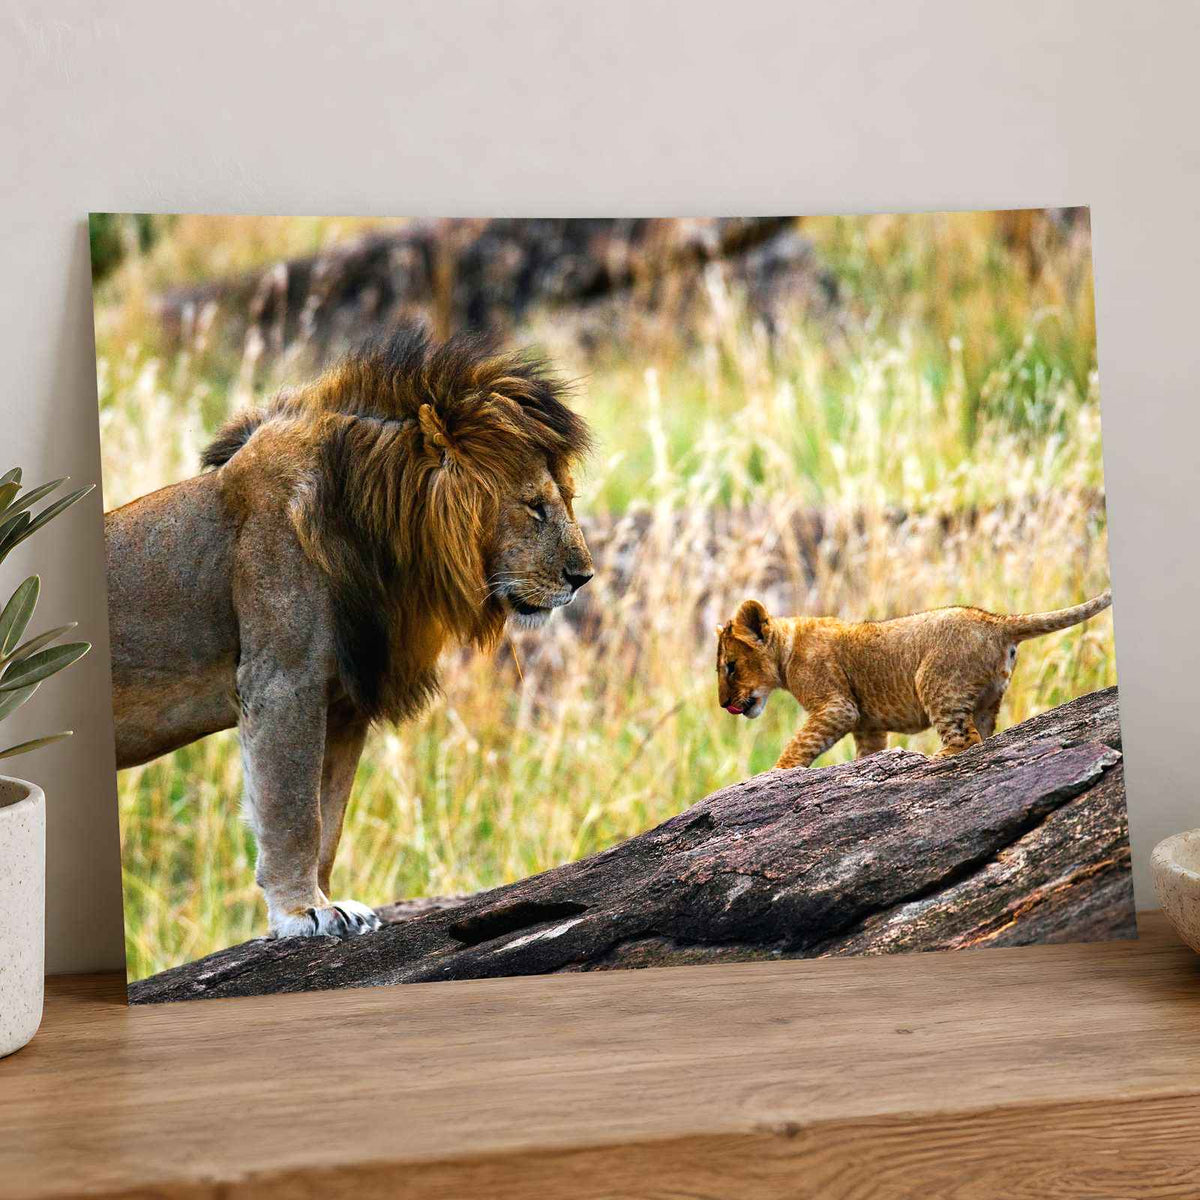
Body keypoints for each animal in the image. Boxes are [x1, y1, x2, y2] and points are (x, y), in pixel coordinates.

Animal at [105, 328, 593, 939]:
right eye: (534, 506)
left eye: (567, 500)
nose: (583, 576)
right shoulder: (281, 681)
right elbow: (293, 811)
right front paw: (300, 910)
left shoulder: (342, 702)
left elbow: (328, 817)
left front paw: (333, 904)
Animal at [716, 591, 1112, 768]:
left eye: (731, 666)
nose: (723, 704)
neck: (788, 649)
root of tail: (996, 621)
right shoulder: (868, 726)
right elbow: (866, 751)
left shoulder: (837, 707)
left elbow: (800, 744)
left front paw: (776, 774)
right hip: (987, 698)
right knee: (982, 735)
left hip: (934, 681)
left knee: (965, 739)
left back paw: (932, 760)